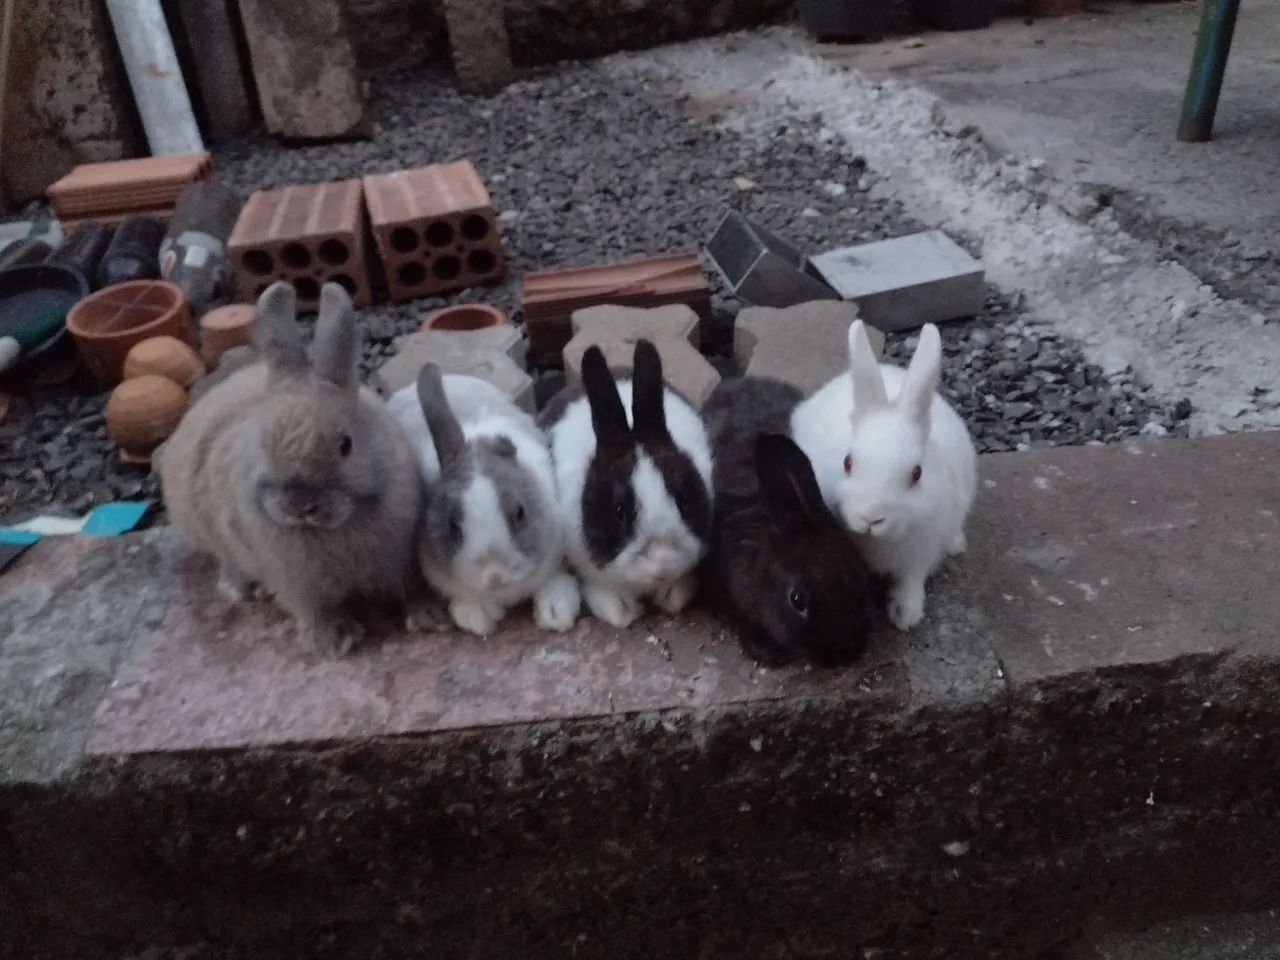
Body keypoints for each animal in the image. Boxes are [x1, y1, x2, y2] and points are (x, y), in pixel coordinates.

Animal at [157, 281, 424, 657]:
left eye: (345, 444)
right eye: (263, 443)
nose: (300, 504)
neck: (335, 528)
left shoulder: (400, 558)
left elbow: (410, 587)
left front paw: (430, 616)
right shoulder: (296, 584)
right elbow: (314, 609)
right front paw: (333, 641)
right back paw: (240, 589)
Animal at [386, 364, 580, 636]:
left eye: (519, 513)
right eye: (452, 525)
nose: (495, 575)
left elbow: (555, 581)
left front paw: (555, 614)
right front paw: (476, 618)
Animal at [790, 320, 977, 632]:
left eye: (916, 473)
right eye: (847, 462)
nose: (870, 518)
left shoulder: (922, 553)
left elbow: (912, 581)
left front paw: (905, 615)